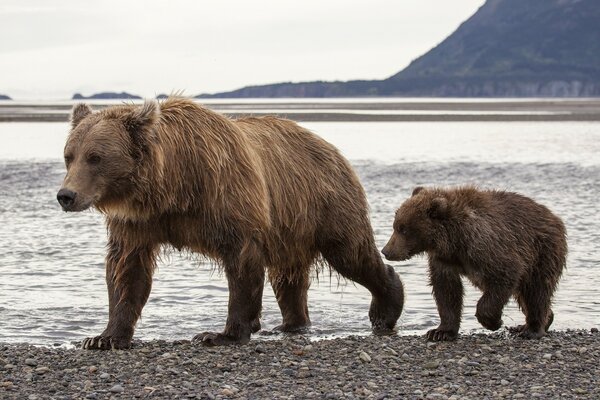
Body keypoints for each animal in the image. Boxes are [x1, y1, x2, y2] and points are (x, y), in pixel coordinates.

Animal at [57, 97, 404, 350]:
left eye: (95, 157)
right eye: (69, 155)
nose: (66, 195)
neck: (173, 186)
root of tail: (331, 148)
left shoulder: (226, 197)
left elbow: (241, 263)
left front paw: (221, 334)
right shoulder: (137, 221)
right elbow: (127, 269)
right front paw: (103, 337)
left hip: (326, 204)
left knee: (352, 254)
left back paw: (386, 307)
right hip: (290, 228)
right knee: (287, 278)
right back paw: (290, 324)